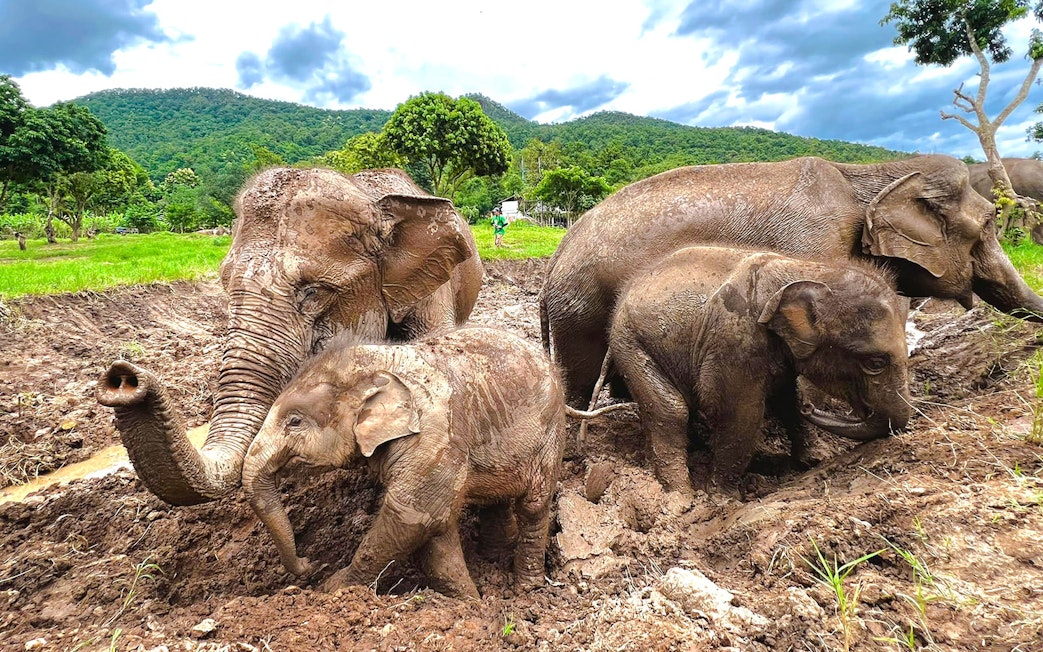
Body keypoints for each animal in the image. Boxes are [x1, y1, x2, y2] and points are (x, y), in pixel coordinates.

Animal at [241, 327, 568, 598]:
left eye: (294, 421)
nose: (310, 562)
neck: (379, 360)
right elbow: (436, 528)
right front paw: (467, 600)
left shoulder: (434, 438)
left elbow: (416, 516)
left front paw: (331, 589)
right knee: (495, 500)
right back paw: (493, 557)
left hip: (550, 431)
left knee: (534, 505)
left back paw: (526, 588)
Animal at [540, 154, 1043, 406]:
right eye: (990, 223)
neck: (867, 174)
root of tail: (556, 253)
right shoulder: (816, 244)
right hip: (579, 308)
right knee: (582, 374)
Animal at [603, 246, 911, 498]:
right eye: (875, 363)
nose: (812, 408)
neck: (808, 269)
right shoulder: (734, 341)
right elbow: (739, 412)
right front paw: (724, 498)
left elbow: (786, 399)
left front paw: (813, 460)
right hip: (630, 342)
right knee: (670, 410)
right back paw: (681, 498)